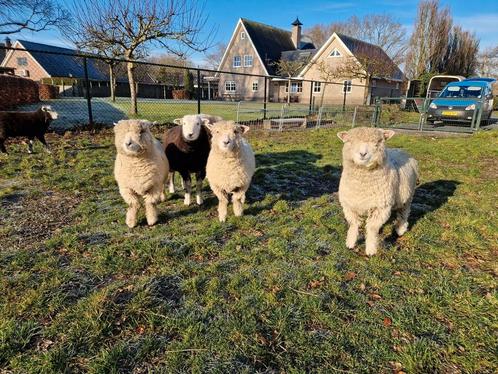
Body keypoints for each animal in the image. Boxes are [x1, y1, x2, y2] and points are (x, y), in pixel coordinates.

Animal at [336, 127, 418, 256]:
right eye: (350, 141)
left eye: (378, 142)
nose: (363, 154)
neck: (362, 183)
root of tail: (400, 150)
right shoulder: (349, 205)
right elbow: (354, 224)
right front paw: (350, 243)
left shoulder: (381, 207)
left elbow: (372, 228)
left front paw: (371, 249)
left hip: (408, 196)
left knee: (404, 213)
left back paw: (400, 229)